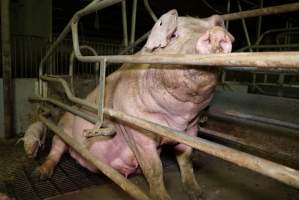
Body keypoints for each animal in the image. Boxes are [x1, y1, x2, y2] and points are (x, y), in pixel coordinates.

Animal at [32, 9, 234, 200]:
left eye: (208, 27)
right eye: (174, 35)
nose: (217, 33)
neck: (178, 119)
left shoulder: (191, 130)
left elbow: (186, 159)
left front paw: (197, 194)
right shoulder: (136, 129)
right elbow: (155, 169)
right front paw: (162, 197)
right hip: (63, 128)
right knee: (55, 150)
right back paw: (40, 174)